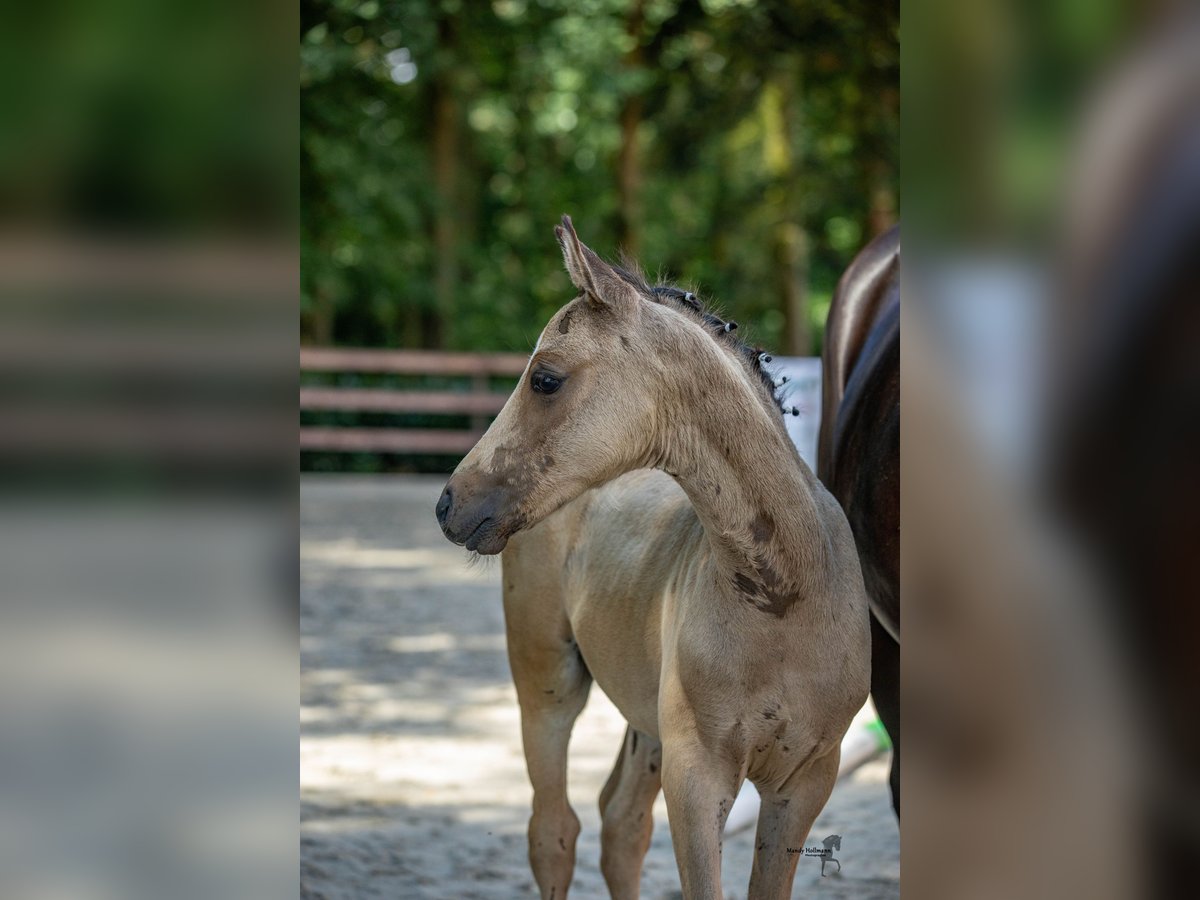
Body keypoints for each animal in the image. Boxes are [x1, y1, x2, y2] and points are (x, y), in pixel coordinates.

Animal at [436, 218, 868, 900]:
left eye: (545, 378)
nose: (450, 502)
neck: (787, 600)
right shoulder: (697, 777)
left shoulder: (806, 781)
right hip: (547, 679)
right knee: (555, 831)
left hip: (646, 720)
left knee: (620, 826)